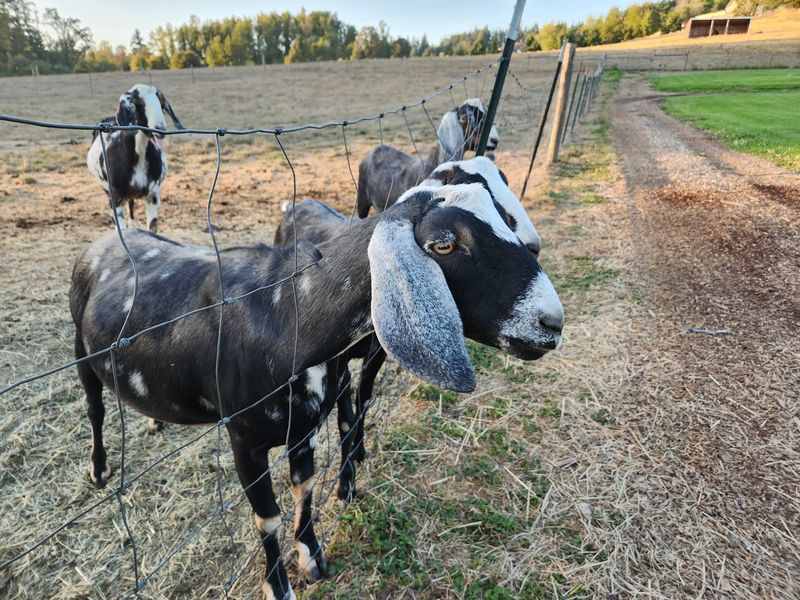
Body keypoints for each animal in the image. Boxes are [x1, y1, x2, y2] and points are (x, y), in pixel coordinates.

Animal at [86, 84, 183, 233]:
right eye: (138, 103)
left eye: (161, 104)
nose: (160, 129)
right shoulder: (115, 198)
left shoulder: (153, 196)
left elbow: (152, 228)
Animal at [274, 157, 544, 502]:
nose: (534, 244)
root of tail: (300, 202)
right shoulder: (337, 360)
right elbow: (346, 416)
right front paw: (346, 485)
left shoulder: (377, 353)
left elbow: (364, 399)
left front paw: (359, 451)